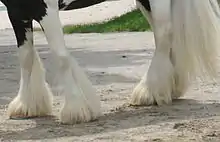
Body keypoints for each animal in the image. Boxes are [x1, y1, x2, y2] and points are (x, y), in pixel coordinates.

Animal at [0, 0, 219, 124]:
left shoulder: (46, 9)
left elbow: (61, 57)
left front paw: (76, 110)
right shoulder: (16, 11)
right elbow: (26, 57)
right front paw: (26, 106)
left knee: (164, 34)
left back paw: (150, 92)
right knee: (162, 36)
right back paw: (165, 89)